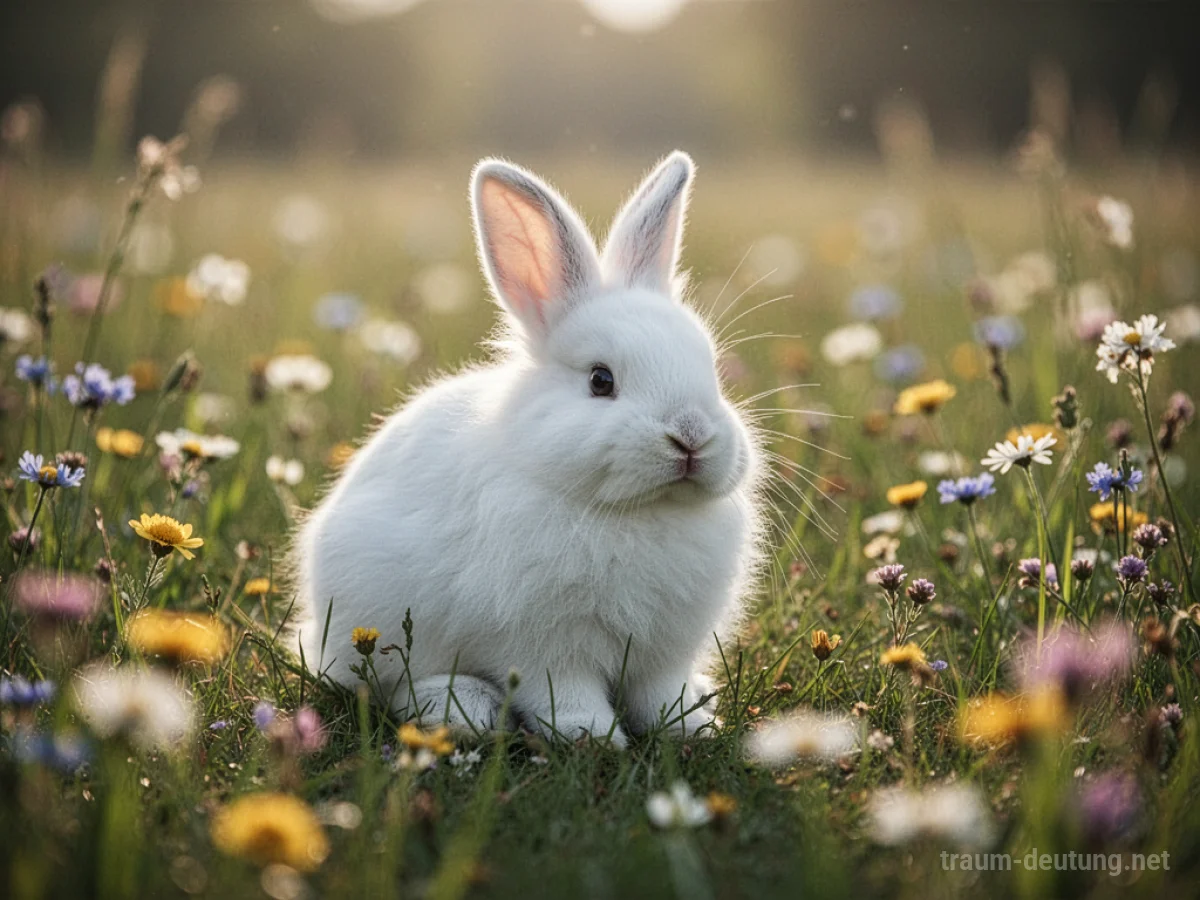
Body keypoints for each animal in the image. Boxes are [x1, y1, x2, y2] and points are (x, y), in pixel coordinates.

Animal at [291, 151, 763, 746]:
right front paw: (592, 736)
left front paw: (693, 726)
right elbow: (563, 691)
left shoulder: (664, 654)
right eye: (601, 380)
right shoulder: (545, 646)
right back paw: (460, 708)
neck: (638, 512)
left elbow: (660, 693)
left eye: (713, 371)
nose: (692, 435)